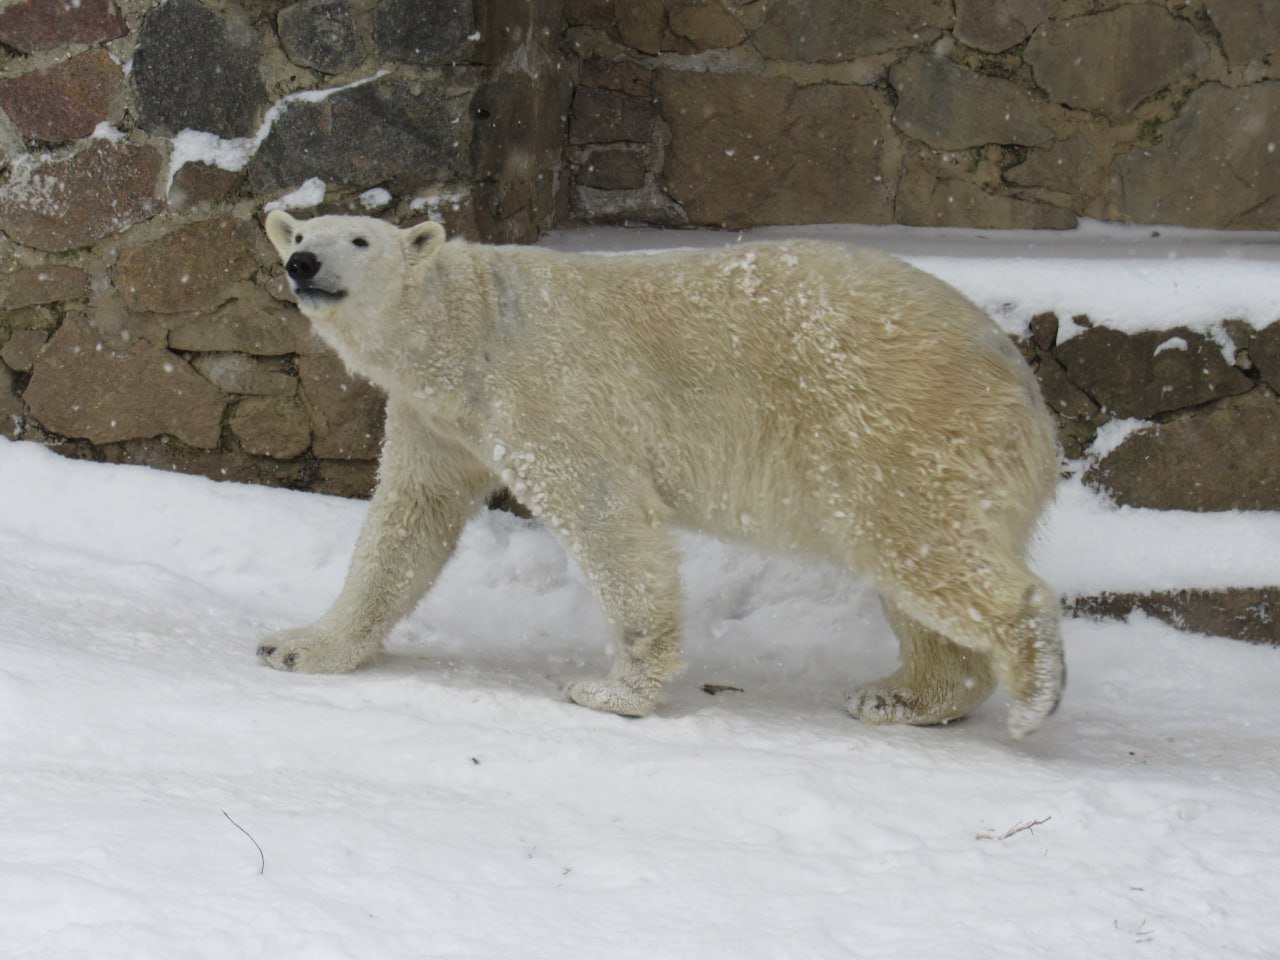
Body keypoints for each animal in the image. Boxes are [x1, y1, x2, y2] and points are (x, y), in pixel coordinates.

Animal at [257, 212, 1059, 737]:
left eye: (359, 239)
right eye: (299, 234)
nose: (304, 265)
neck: (472, 326)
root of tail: (1019, 376)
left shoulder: (542, 389)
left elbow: (605, 512)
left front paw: (614, 690)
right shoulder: (438, 421)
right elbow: (408, 520)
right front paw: (294, 645)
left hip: (895, 426)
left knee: (921, 545)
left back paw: (1033, 689)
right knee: (909, 572)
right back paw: (903, 697)